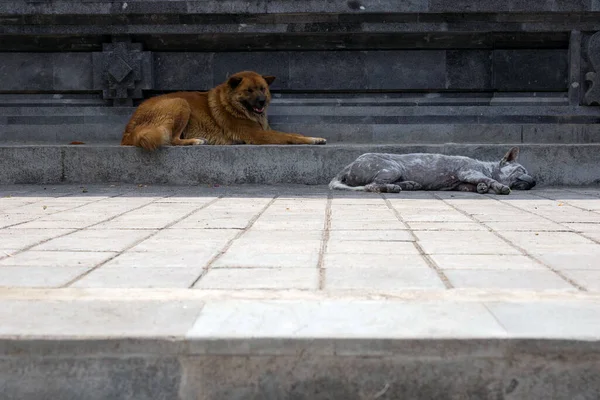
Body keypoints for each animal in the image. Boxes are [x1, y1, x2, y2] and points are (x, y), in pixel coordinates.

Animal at [120, 69, 326, 149]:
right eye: (249, 91)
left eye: (262, 89)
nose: (261, 101)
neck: (233, 106)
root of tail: (128, 132)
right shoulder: (258, 135)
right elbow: (289, 137)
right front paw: (310, 140)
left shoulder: (264, 130)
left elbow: (293, 133)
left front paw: (315, 137)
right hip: (180, 103)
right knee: (172, 140)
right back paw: (195, 141)